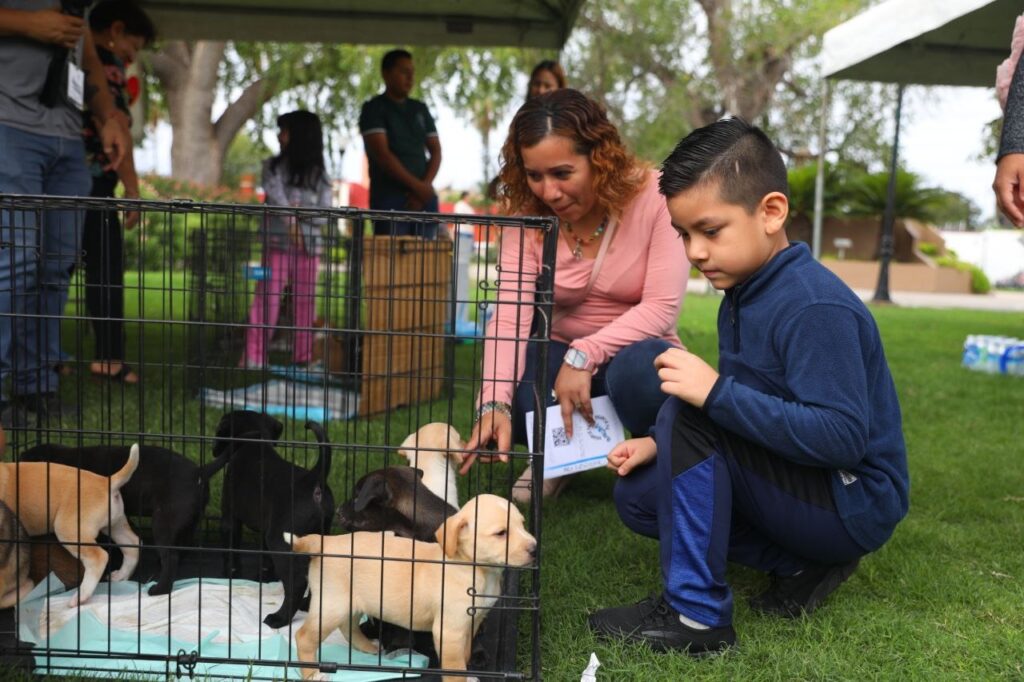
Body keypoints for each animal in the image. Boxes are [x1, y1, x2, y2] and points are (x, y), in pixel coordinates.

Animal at [0, 440, 141, 606]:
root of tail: (106, 482)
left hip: (69, 529)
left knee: (98, 557)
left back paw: (81, 597)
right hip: (115, 524)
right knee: (132, 545)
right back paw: (121, 576)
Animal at [218, 409, 333, 626]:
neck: (255, 441)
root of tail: (312, 479)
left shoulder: (230, 518)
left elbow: (232, 549)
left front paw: (231, 573)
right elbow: (265, 557)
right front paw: (263, 575)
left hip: (280, 541)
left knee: (296, 583)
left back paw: (279, 618)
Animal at [286, 493, 536, 679]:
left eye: (523, 525)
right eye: (501, 533)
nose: (534, 548)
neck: (474, 568)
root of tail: (324, 541)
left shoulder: (472, 621)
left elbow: (466, 653)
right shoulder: (450, 630)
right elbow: (454, 668)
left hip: (351, 602)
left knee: (348, 626)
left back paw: (367, 647)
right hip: (332, 605)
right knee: (305, 637)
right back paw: (311, 674)